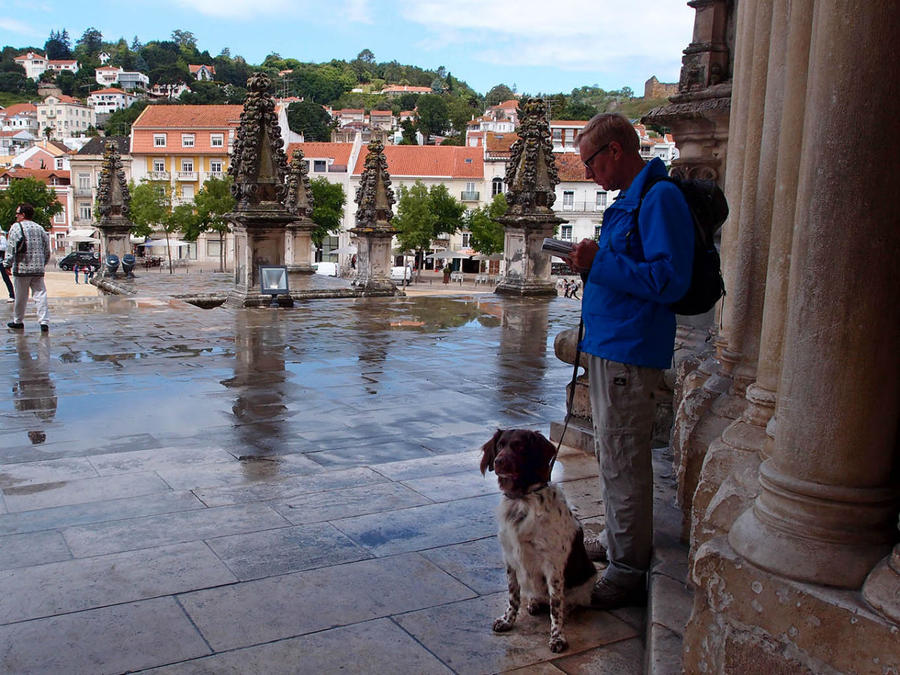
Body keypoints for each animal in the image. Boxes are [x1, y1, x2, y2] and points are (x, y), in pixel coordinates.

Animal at [478, 430, 596, 652]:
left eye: (520, 446)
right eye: (500, 445)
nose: (498, 462)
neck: (522, 499)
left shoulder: (553, 566)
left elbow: (556, 605)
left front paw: (558, 637)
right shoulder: (510, 558)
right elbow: (513, 595)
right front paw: (507, 620)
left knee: (567, 602)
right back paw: (534, 602)